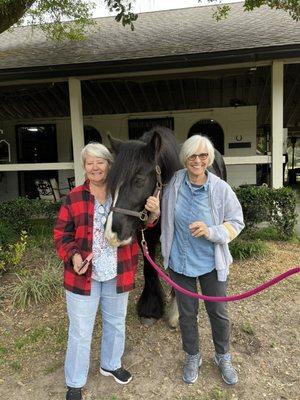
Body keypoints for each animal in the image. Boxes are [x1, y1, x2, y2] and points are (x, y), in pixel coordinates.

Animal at [104, 126, 226, 326]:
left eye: (139, 180)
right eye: (111, 182)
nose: (111, 234)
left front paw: (176, 310)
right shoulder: (146, 236)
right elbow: (149, 268)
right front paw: (150, 309)